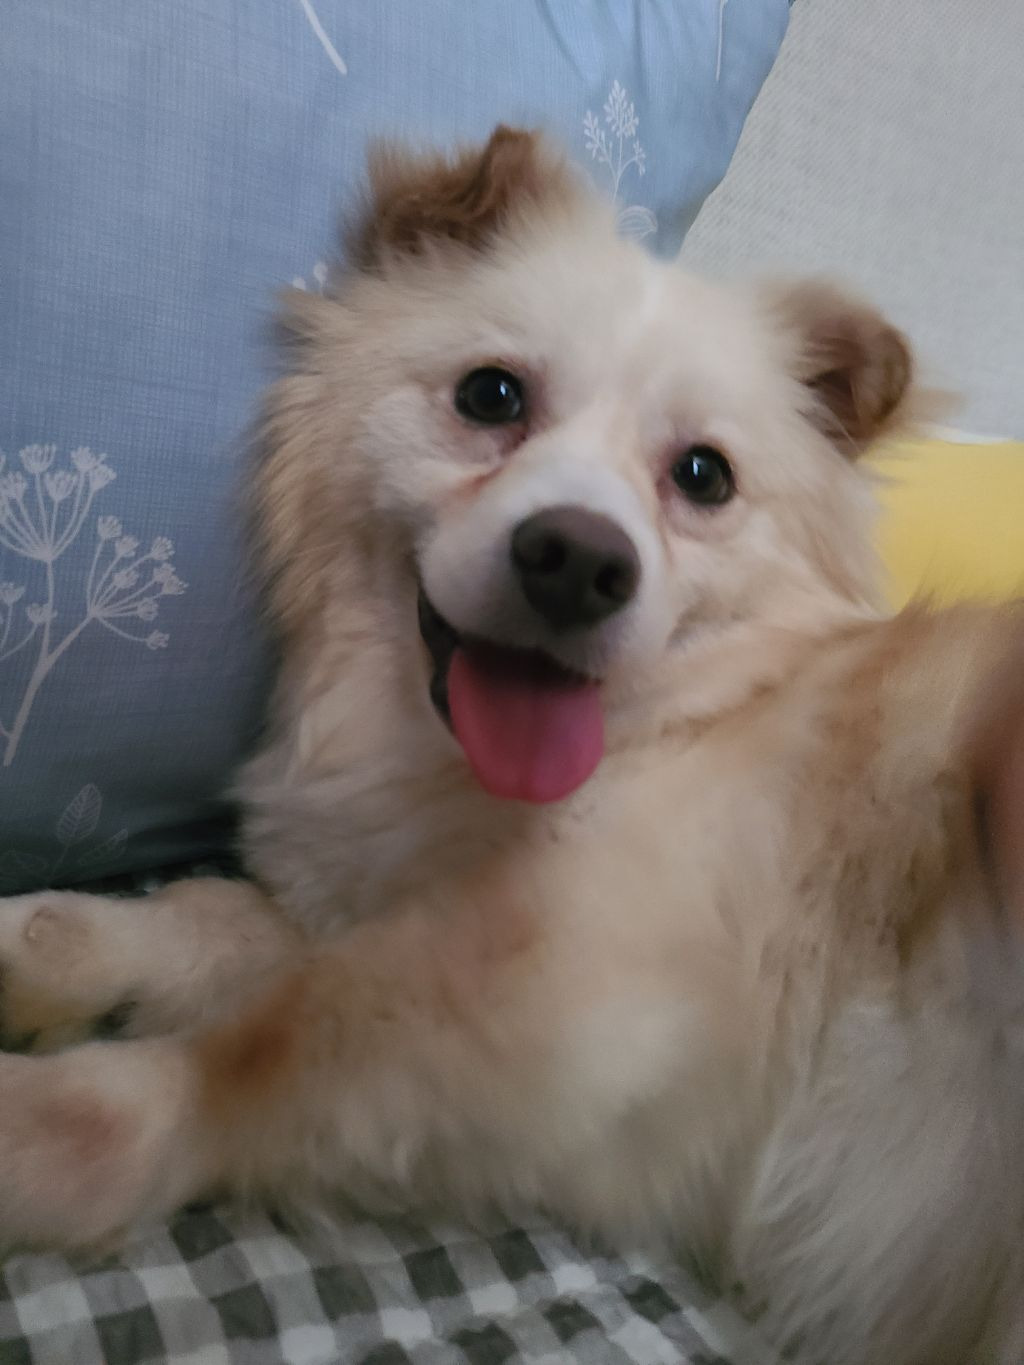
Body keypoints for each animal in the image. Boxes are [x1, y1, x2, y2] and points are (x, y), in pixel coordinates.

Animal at [0, 128, 1021, 1365]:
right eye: (489, 396)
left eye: (703, 476)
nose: (580, 560)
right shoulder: (381, 911)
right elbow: (203, 918)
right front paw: (38, 945)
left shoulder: (556, 995)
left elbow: (244, 1049)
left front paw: (27, 1131)